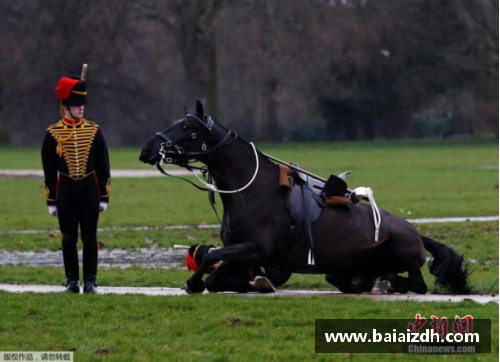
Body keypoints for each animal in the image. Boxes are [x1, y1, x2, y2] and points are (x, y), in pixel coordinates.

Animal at [139, 101, 470, 294]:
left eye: (186, 127)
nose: (146, 149)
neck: (250, 191)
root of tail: (417, 233)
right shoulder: (241, 254)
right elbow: (216, 273)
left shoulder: (254, 249)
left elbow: (209, 259)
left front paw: (195, 282)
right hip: (342, 269)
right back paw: (370, 281)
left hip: (402, 252)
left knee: (416, 282)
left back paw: (384, 283)